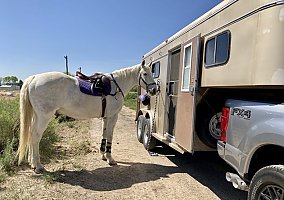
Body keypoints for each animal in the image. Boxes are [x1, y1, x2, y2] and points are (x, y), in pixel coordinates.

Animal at [16, 60, 158, 173]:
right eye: (145, 74)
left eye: (152, 73)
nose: (154, 90)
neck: (116, 86)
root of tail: (34, 78)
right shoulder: (113, 116)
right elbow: (110, 136)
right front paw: (110, 158)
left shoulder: (106, 117)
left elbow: (104, 134)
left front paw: (103, 155)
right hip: (44, 116)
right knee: (36, 136)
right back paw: (38, 166)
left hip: (36, 116)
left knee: (31, 134)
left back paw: (32, 163)